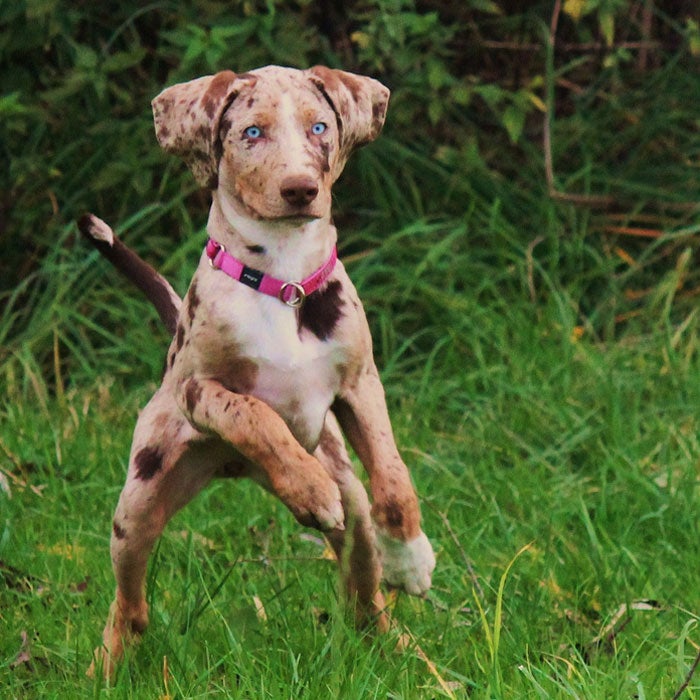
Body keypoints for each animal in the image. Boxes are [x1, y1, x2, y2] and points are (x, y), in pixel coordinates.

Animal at [80, 64, 432, 680]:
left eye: (319, 127)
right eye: (251, 133)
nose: (300, 189)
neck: (283, 278)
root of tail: (233, 472)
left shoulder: (360, 384)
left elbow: (392, 477)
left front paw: (410, 558)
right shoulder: (198, 390)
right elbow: (253, 415)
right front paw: (307, 487)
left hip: (351, 505)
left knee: (364, 593)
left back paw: (403, 649)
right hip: (141, 499)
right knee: (129, 600)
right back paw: (108, 666)